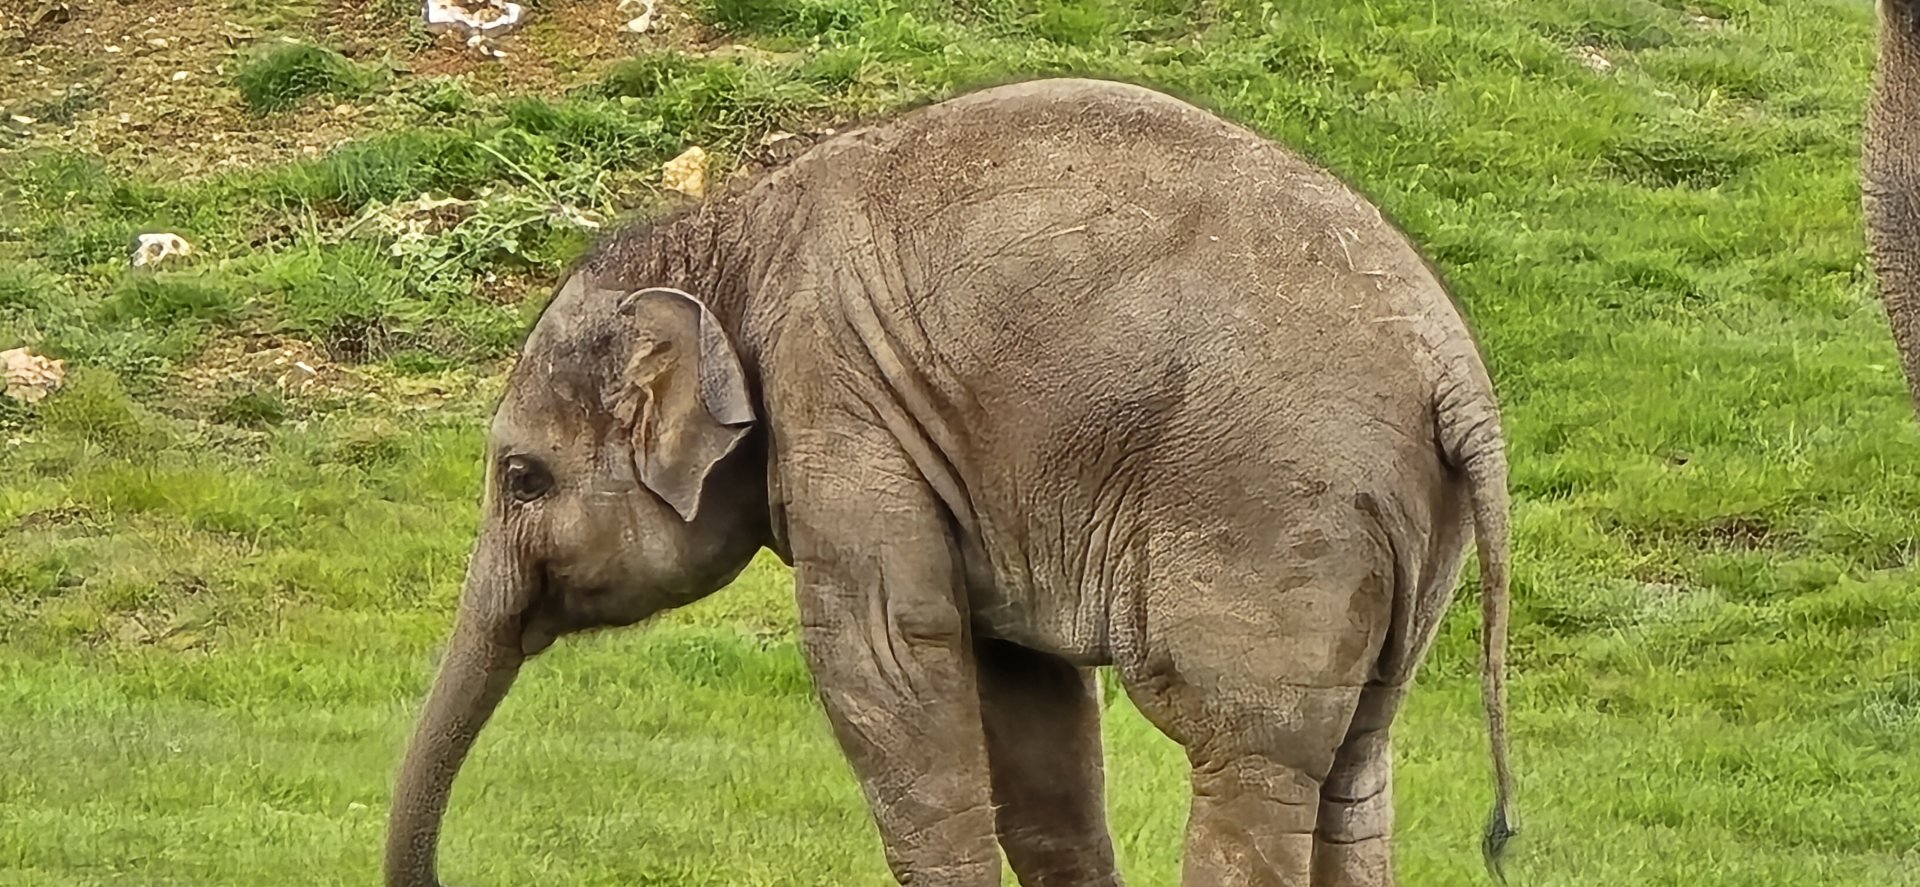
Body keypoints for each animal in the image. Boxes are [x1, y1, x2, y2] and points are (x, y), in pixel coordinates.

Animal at [384, 77, 1519, 887]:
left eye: (522, 478)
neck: (730, 238)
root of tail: (1454, 371)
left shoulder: (838, 401)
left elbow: (883, 656)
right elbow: (1023, 693)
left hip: (1279, 514)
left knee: (1247, 761)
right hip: (1405, 535)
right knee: (1356, 770)